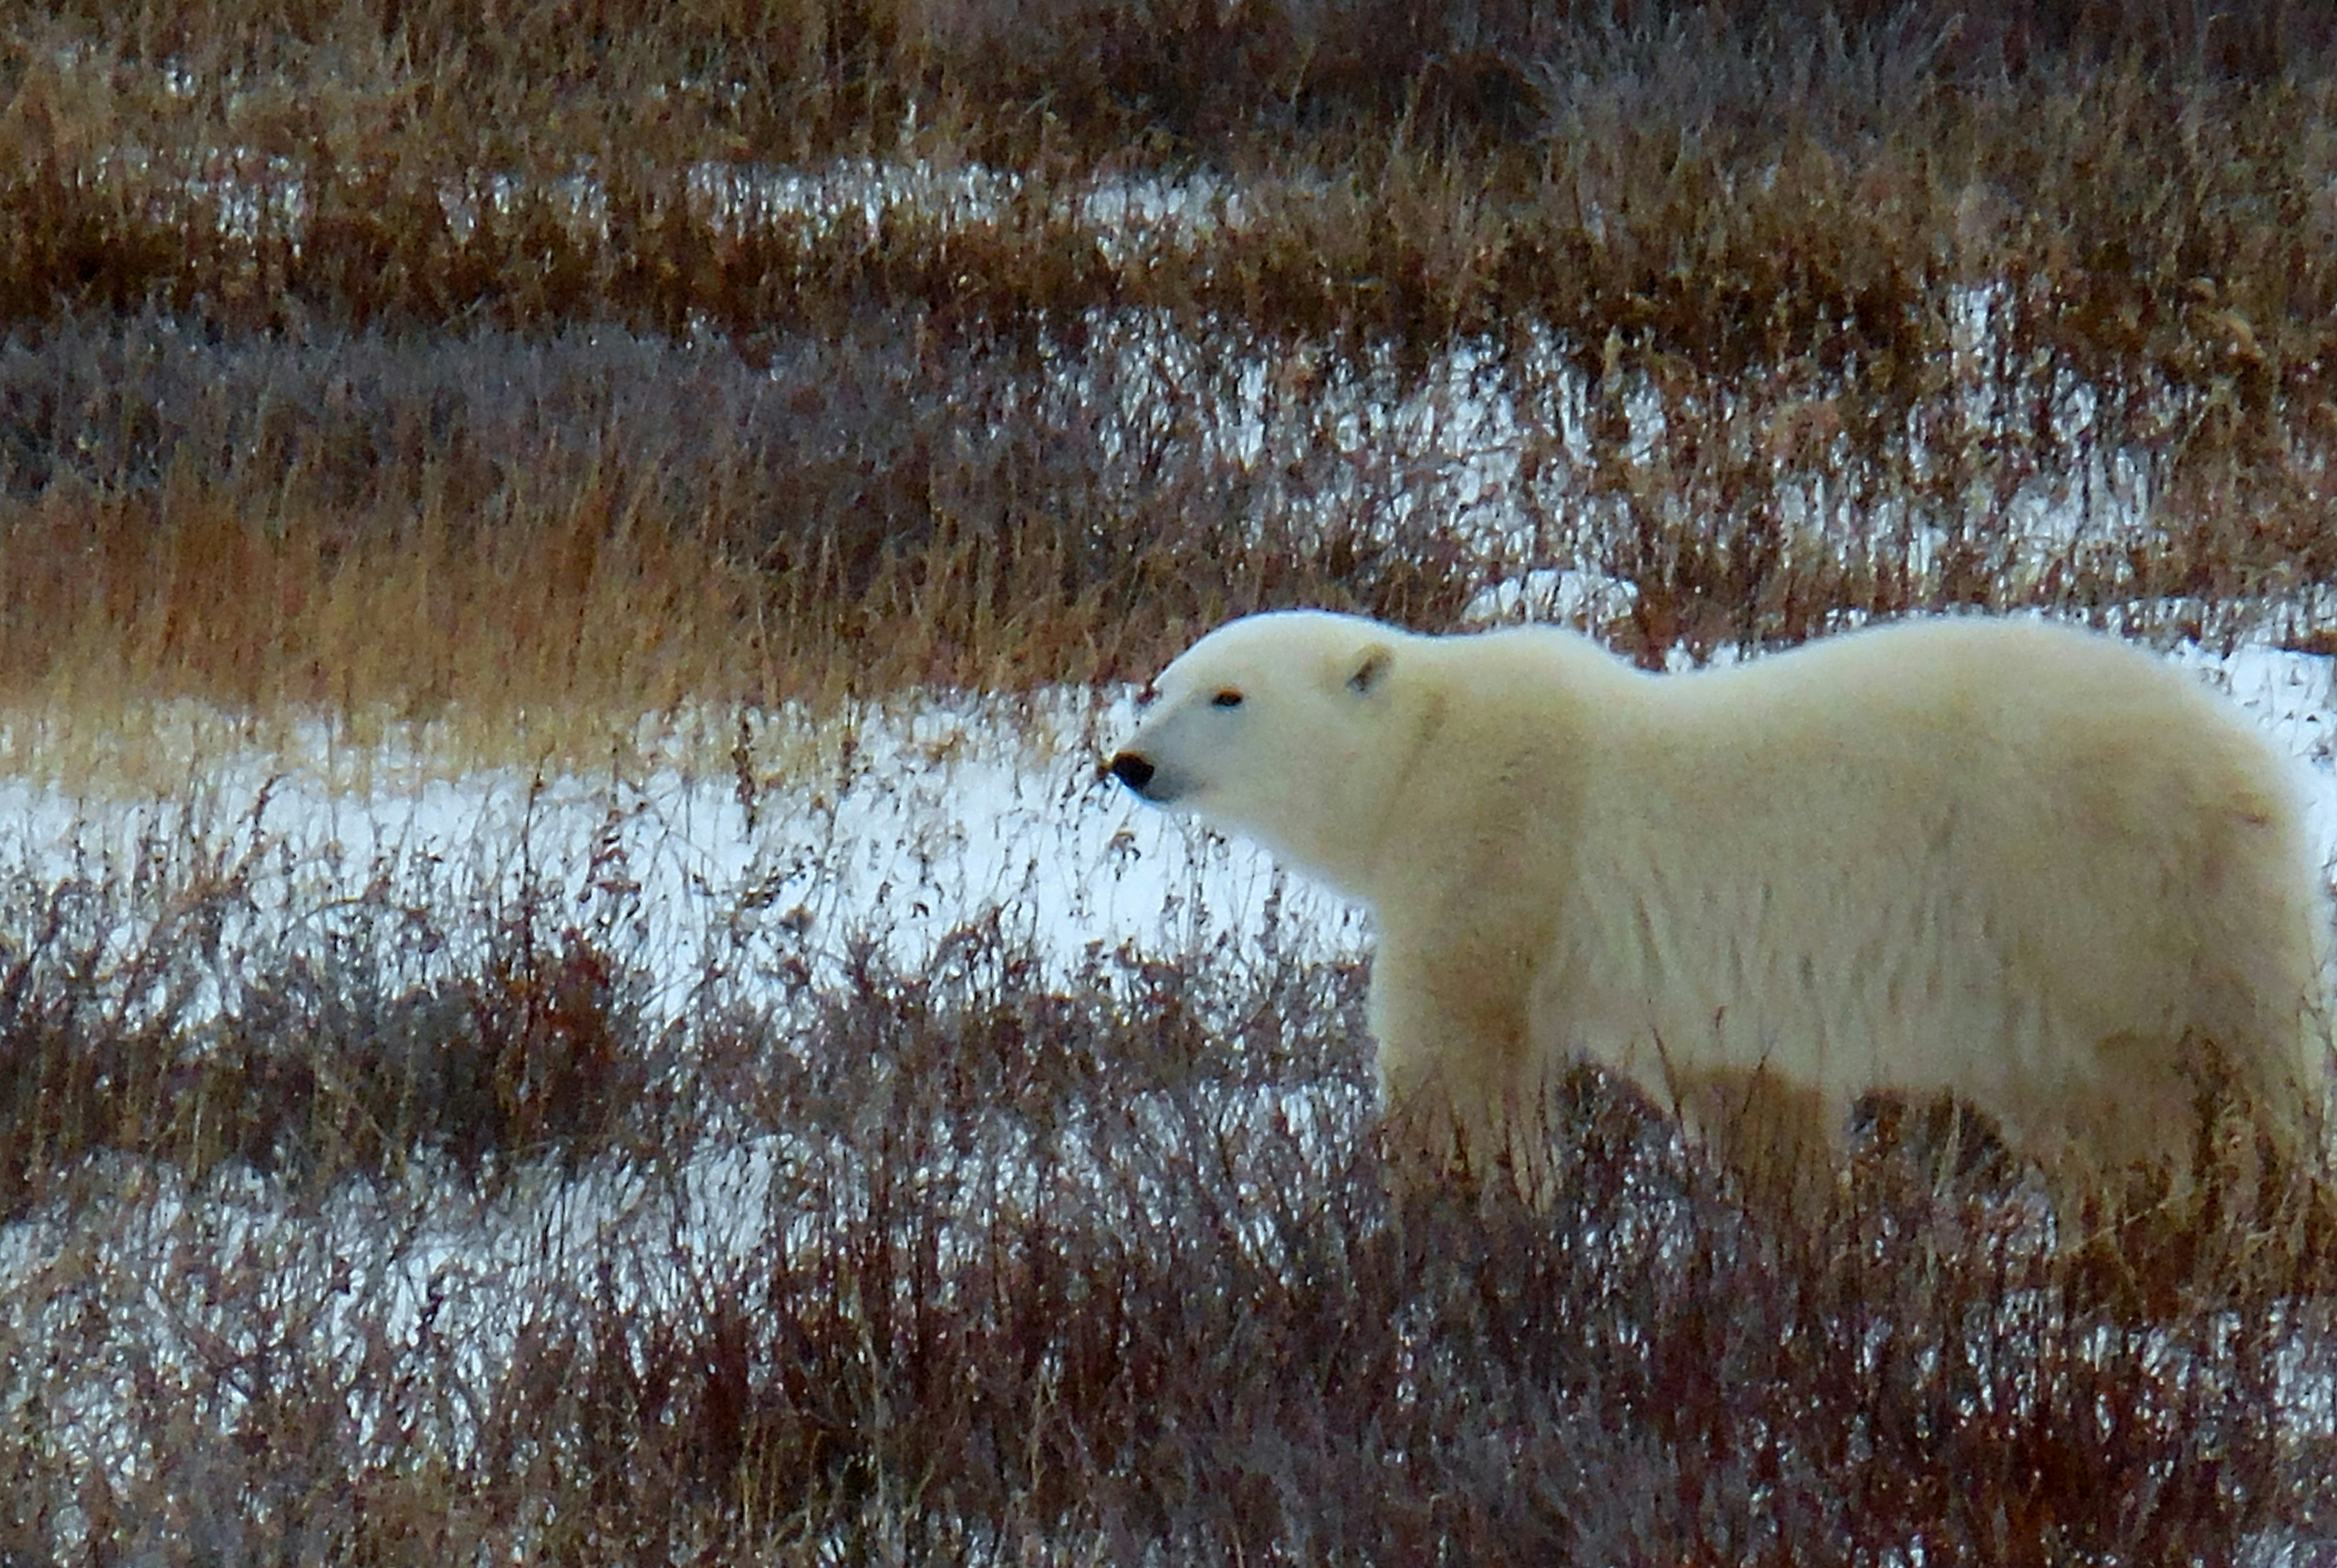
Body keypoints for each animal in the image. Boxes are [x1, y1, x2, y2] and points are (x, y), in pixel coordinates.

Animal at [1105, 609, 2334, 1229]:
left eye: (1229, 694)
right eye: (1162, 681)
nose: (1131, 762)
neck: (1425, 752)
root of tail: (2252, 773)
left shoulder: (1502, 854)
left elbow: (1459, 1063)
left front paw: (1455, 1208)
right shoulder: (1700, 989)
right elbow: (1752, 1097)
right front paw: (1799, 1226)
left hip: (2086, 897)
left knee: (2158, 1094)